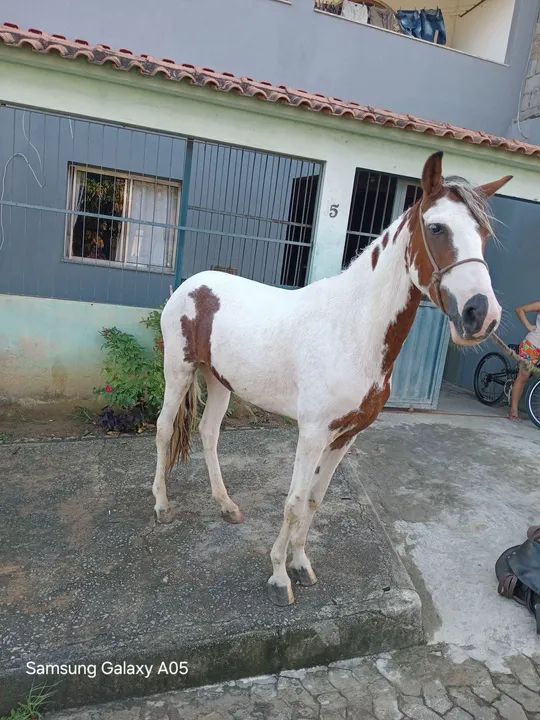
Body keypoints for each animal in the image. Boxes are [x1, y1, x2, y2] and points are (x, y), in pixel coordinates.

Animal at [152, 152, 511, 605]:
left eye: (483, 234)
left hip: (219, 381)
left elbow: (314, 501)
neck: (352, 328)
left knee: (208, 433)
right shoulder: (312, 433)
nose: (482, 315)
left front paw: (301, 564)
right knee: (164, 429)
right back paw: (162, 506)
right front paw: (279, 577)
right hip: (179, 371)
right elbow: (293, 502)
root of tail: (192, 285)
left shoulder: (345, 436)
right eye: (436, 227)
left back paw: (226, 506)